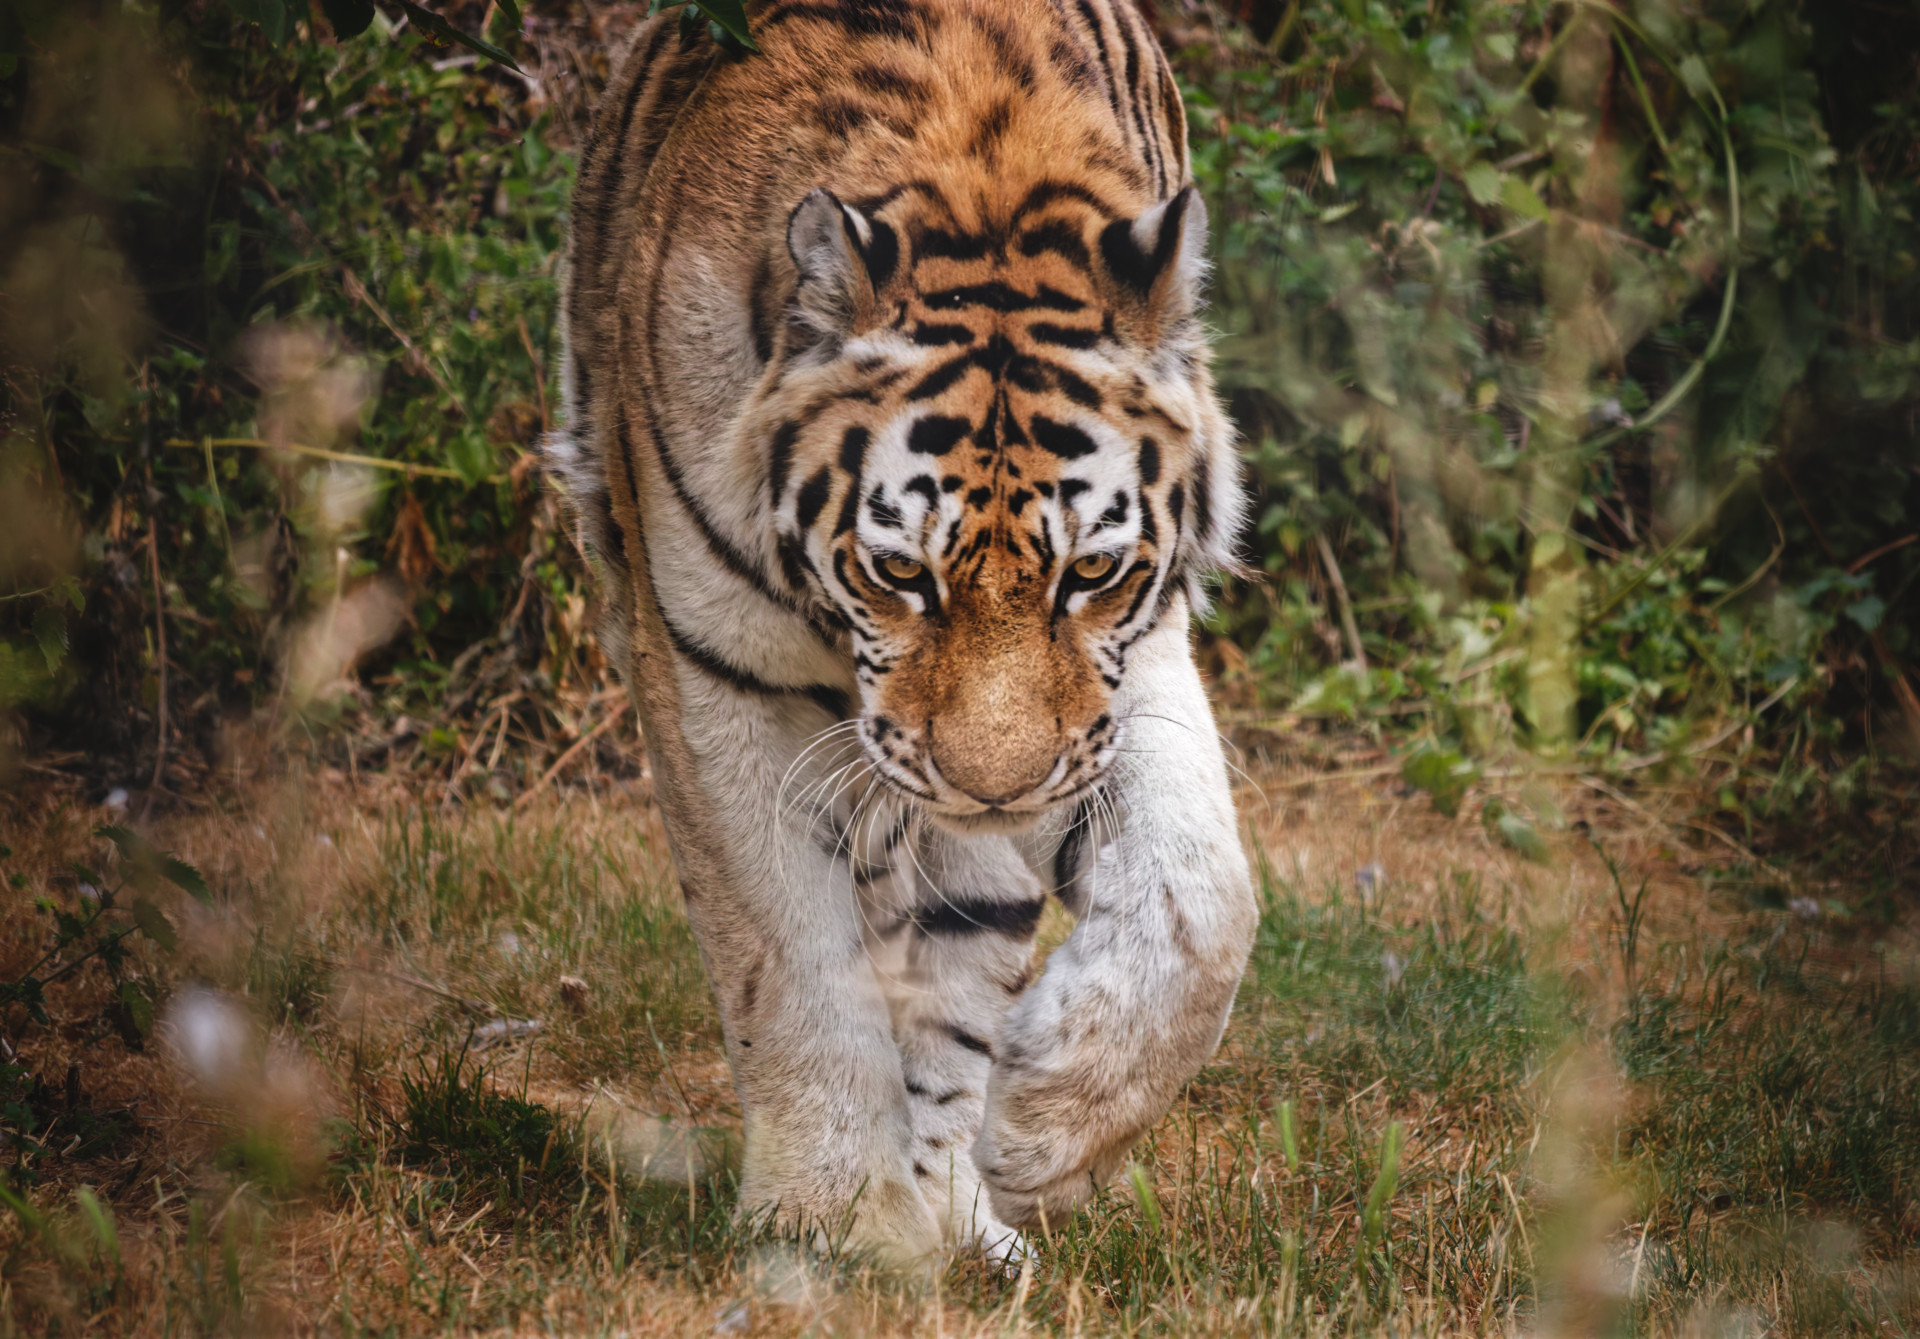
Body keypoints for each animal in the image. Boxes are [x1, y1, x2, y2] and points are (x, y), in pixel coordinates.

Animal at [547, 0, 1256, 1264]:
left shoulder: (1125, 666)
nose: (993, 786)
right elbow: (792, 965)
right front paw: (819, 1225)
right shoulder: (717, 673)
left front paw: (1039, 1131)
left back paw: (962, 1215)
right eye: (897, 571)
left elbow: (1204, 900)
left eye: (1091, 570)